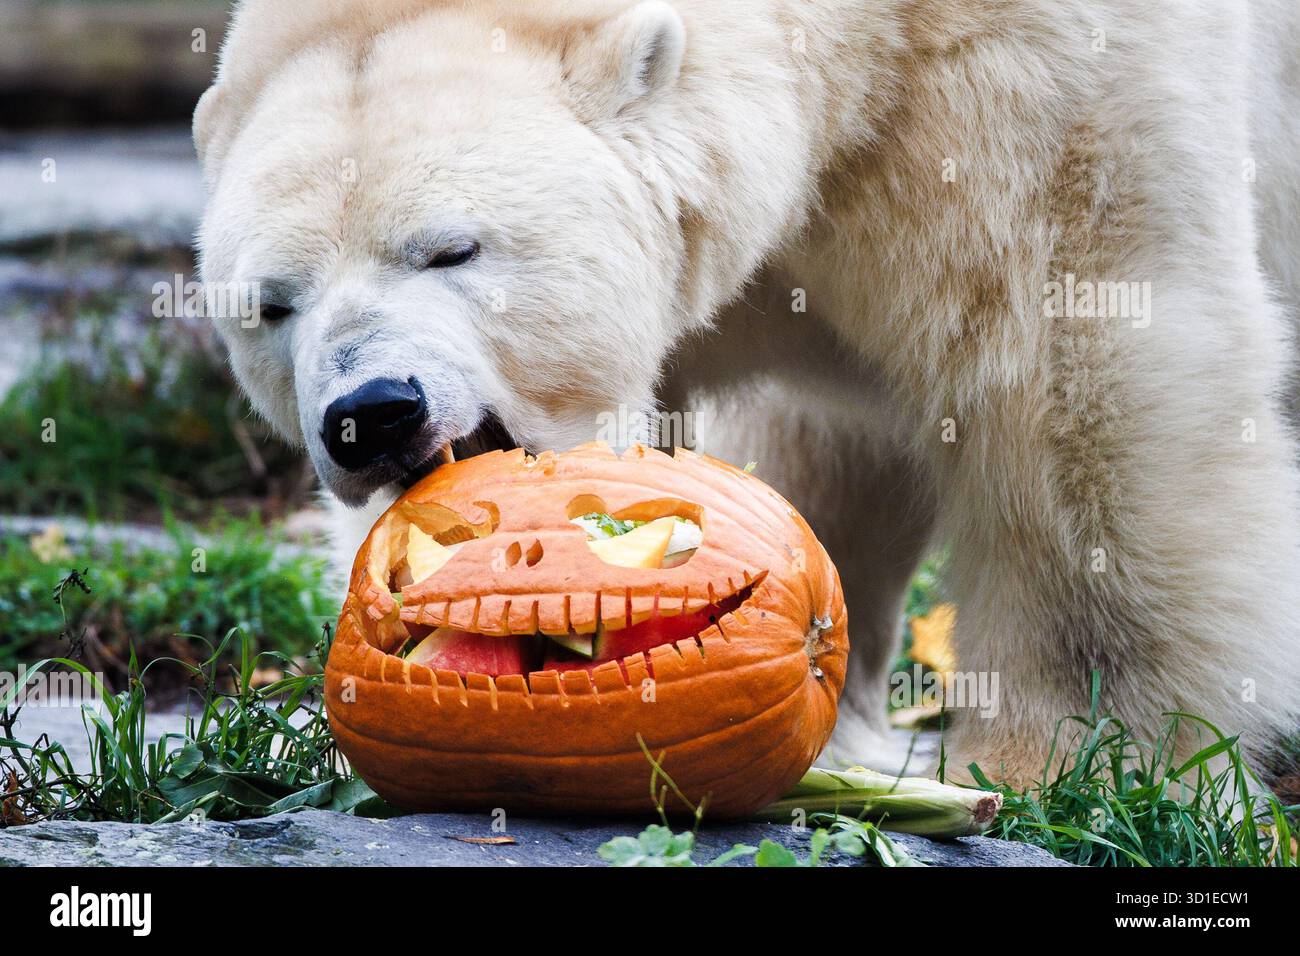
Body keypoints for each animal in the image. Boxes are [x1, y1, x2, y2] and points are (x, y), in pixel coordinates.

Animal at [194, 0, 1300, 789]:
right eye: (270, 303)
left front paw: (1078, 759)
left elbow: (1077, 366)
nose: (372, 414)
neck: (878, 30)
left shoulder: (1040, 90)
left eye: (450, 247)